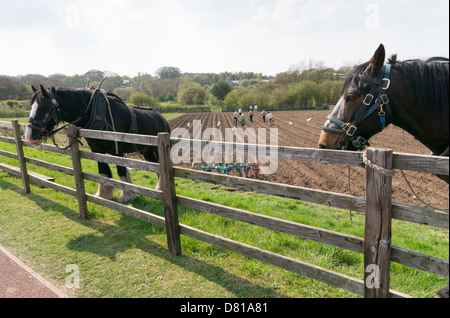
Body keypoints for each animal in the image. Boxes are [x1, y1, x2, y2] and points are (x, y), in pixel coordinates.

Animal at [25, 84, 171, 204]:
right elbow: (103, 170)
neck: (97, 113)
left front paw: (127, 195)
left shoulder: (117, 151)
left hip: (156, 149)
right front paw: (104, 194)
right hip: (146, 151)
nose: (30, 136)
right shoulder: (96, 150)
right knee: (156, 166)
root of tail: (161, 117)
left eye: (44, 108)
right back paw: (159, 190)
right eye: (31, 107)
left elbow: (121, 170)